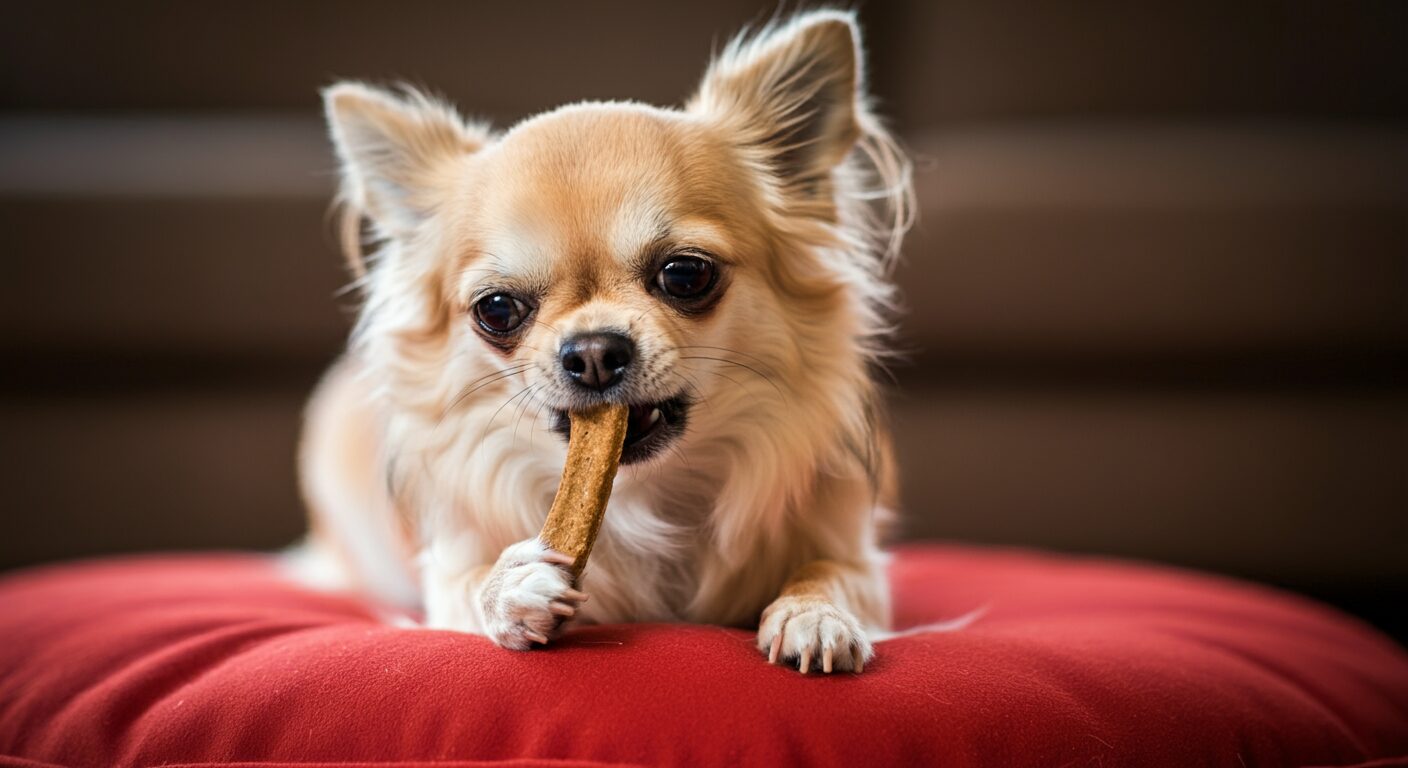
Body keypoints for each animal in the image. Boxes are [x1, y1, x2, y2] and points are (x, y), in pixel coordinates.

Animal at [297, 10, 912, 670]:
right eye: (496, 309)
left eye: (685, 274)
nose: (592, 353)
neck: (643, 496)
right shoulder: (447, 576)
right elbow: (473, 583)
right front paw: (508, 586)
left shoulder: (857, 555)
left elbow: (831, 570)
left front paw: (814, 613)